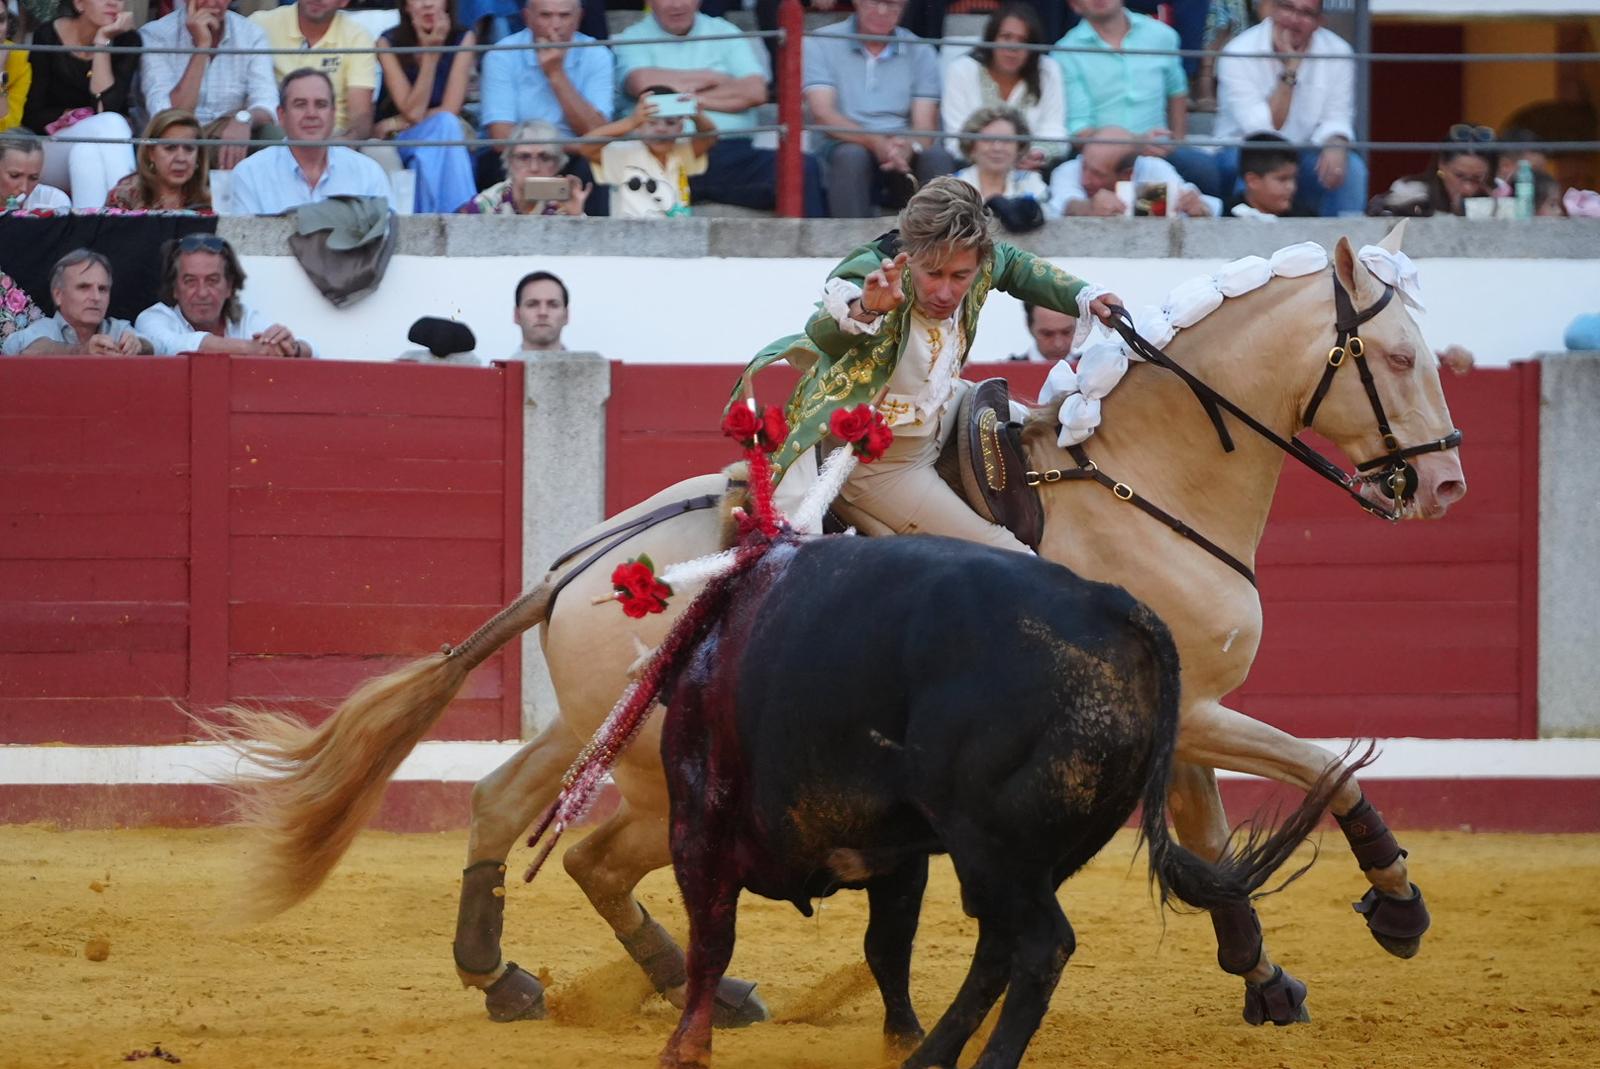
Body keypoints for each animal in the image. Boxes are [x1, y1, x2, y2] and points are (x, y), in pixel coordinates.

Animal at [656, 537, 1356, 1069]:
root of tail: (1112, 605)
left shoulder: (698, 822)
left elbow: (713, 943)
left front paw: (685, 1050)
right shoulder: (899, 855)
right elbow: (886, 949)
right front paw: (901, 1040)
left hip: (987, 841)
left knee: (1040, 946)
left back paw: (984, 1060)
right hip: (1017, 856)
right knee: (999, 947)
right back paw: (927, 1058)